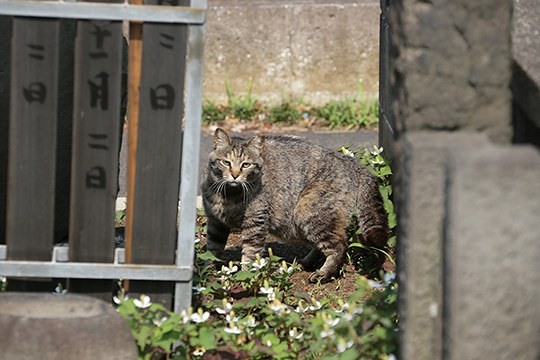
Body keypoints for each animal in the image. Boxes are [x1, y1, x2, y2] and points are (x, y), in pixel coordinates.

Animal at [200, 128, 386, 282]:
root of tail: (352, 162)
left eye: (246, 165)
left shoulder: (255, 225)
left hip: (308, 212)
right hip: (299, 224)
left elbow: (250, 254)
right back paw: (304, 263)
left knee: (339, 245)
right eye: (226, 162)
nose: (235, 175)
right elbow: (212, 249)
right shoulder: (216, 223)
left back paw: (324, 273)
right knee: (321, 245)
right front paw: (206, 271)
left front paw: (246, 278)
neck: (228, 195)